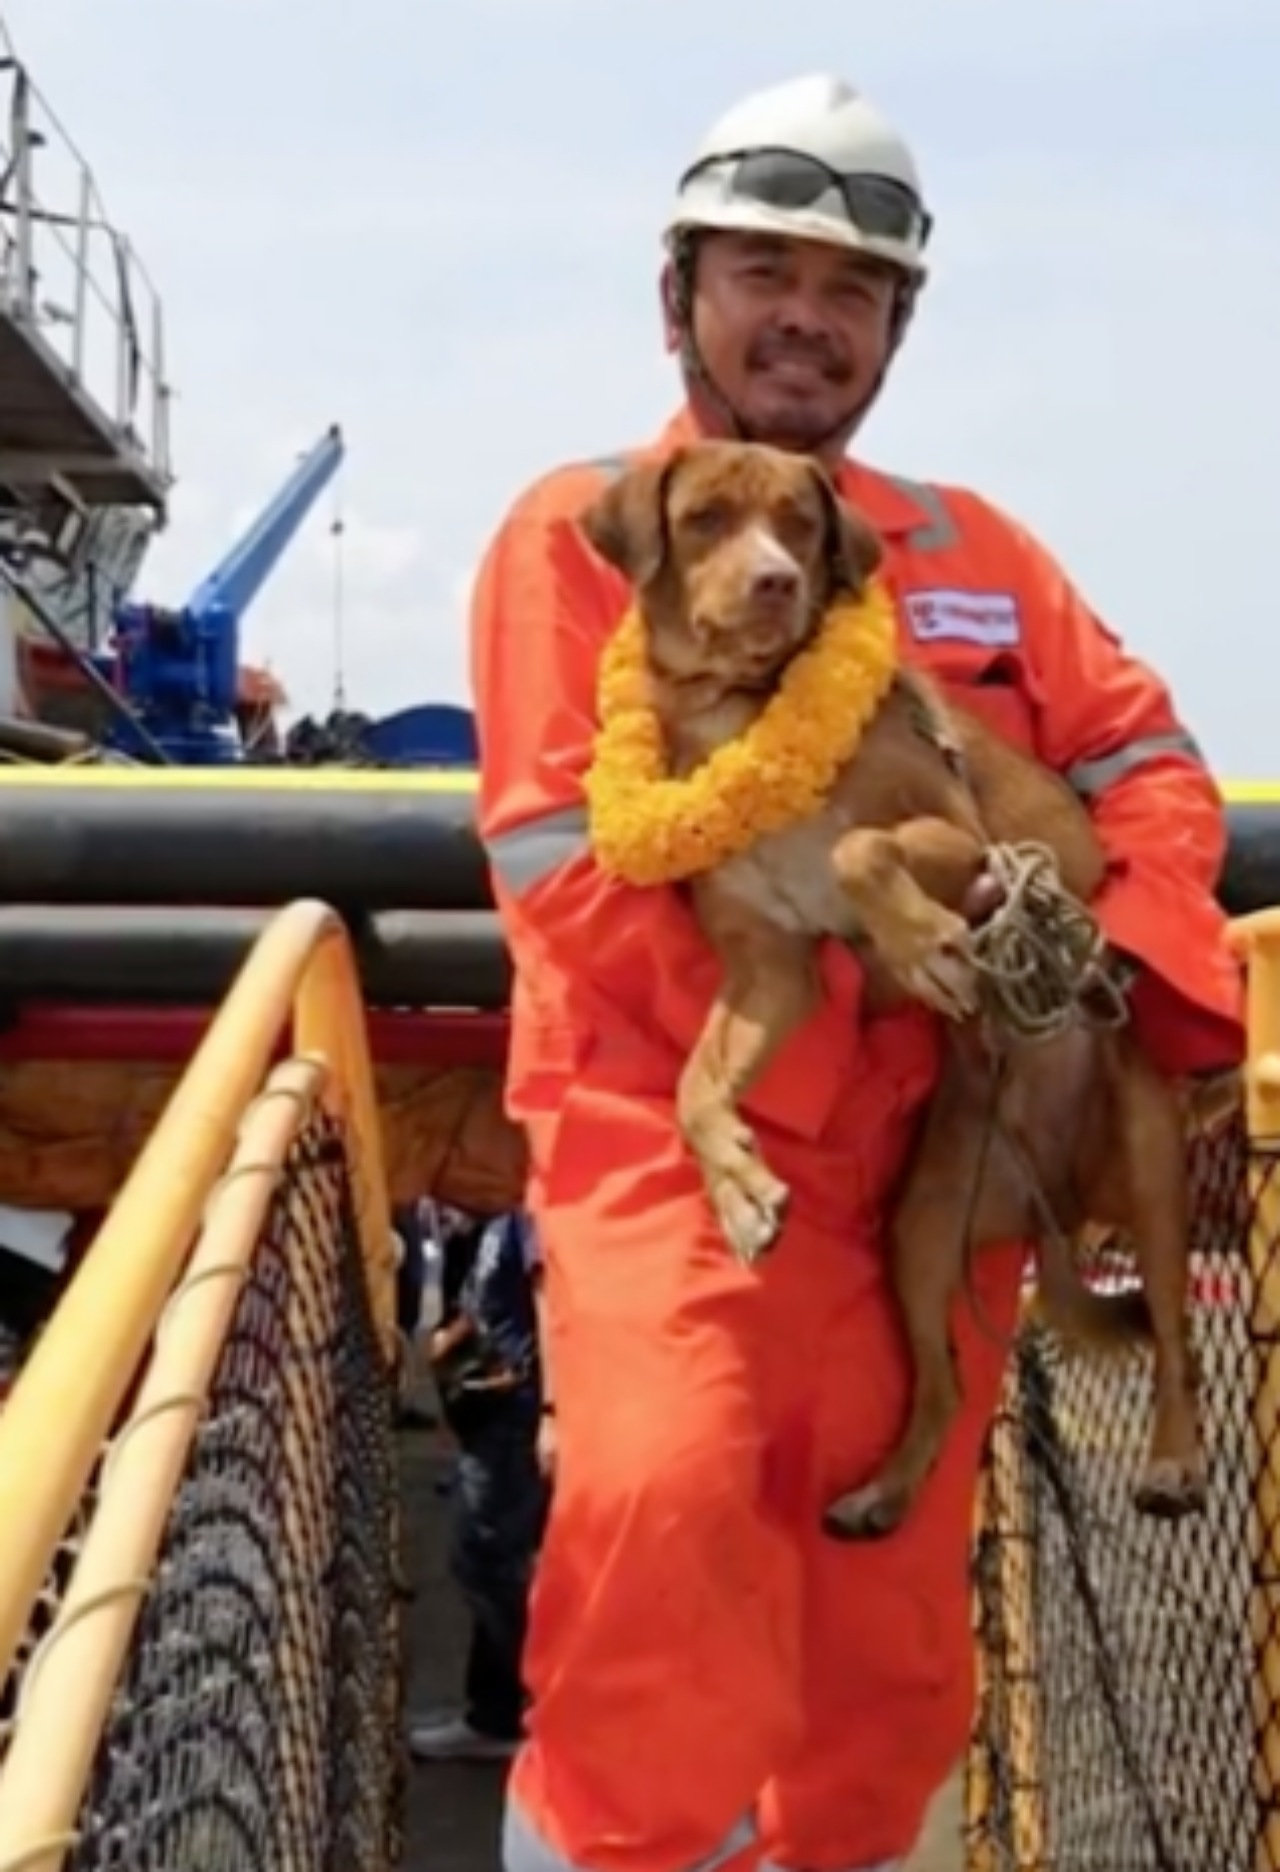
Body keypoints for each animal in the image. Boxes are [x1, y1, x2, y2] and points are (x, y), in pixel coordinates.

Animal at [583, 438, 1212, 1535]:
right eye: (704, 518)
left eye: (798, 523)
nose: (775, 582)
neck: (740, 707)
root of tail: (1050, 1194)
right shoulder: (769, 970)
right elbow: (694, 1087)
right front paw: (738, 1187)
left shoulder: (961, 840)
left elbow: (858, 850)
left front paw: (919, 941)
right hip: (920, 1233)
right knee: (944, 1383)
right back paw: (882, 1488)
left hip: (1149, 1173)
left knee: (1174, 1336)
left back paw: (1173, 1461)